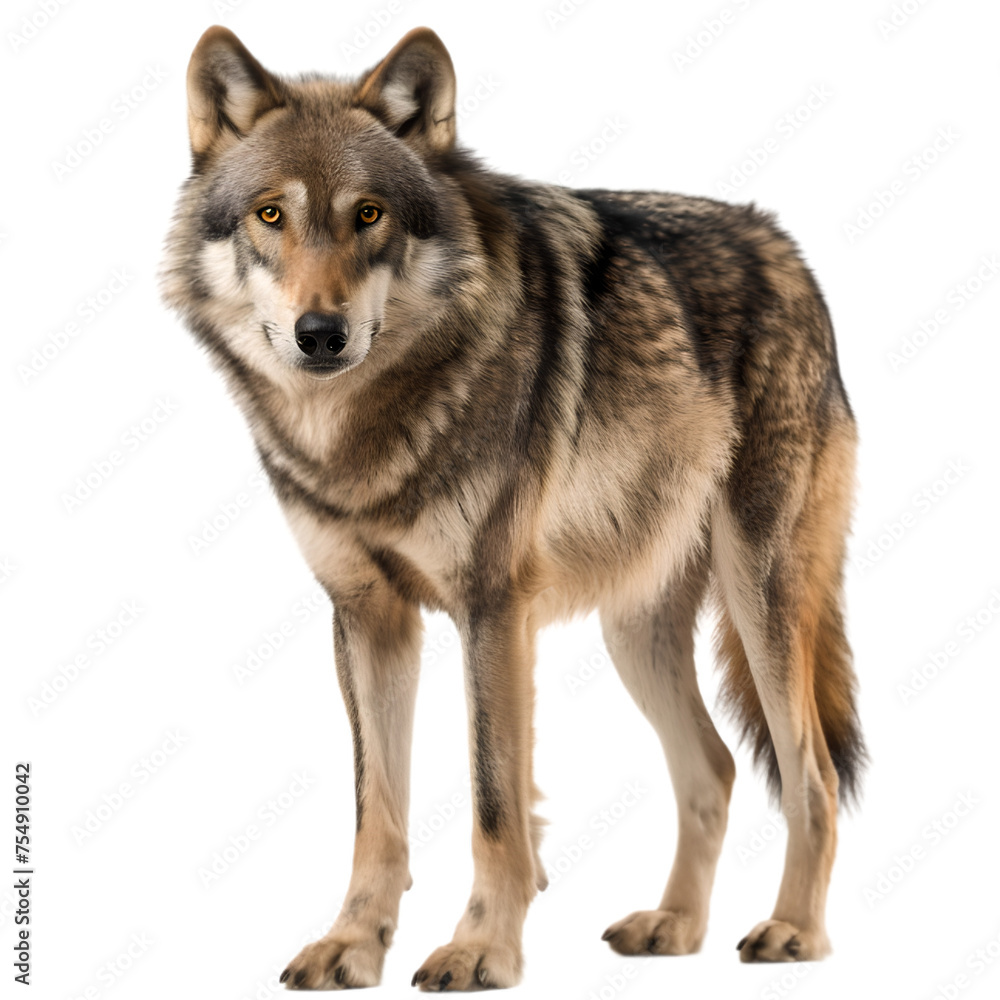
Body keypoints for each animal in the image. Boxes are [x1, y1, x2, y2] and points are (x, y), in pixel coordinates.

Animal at [162, 25, 865, 990]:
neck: (363, 434)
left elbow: (495, 804)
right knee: (715, 768)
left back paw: (793, 930)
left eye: (370, 215)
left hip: (762, 599)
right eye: (271, 215)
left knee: (811, 776)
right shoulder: (368, 617)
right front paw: (353, 944)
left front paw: (482, 950)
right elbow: (376, 812)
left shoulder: (492, 610)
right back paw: (675, 927)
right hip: (634, 630)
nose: (321, 335)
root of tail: (788, 248)